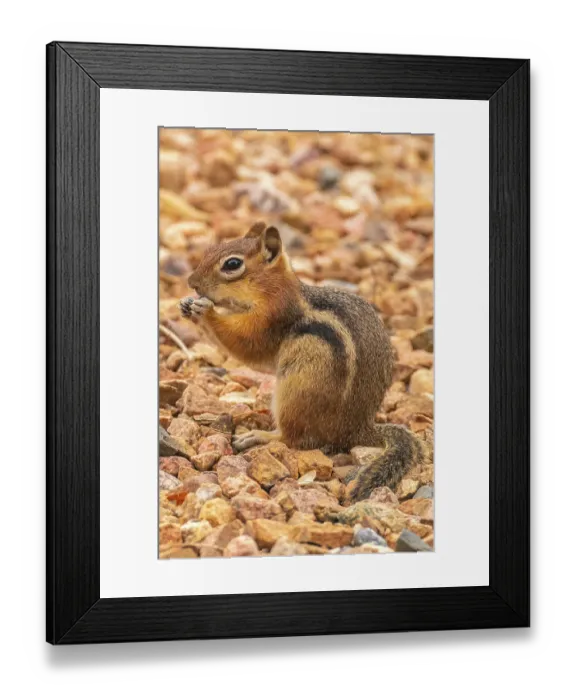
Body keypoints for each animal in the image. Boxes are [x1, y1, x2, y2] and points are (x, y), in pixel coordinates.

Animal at [180, 221, 424, 501]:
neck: (273, 289)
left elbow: (246, 342)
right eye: (211, 249)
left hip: (295, 393)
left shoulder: (271, 318)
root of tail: (357, 430)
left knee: (293, 439)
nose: (191, 282)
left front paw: (206, 310)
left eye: (232, 264)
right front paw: (186, 304)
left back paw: (258, 436)